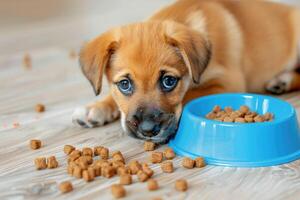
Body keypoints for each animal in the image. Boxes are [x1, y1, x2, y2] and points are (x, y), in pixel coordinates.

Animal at [72, 0, 300, 144]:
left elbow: (190, 94)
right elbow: (112, 97)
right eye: (125, 84)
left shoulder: (228, 82)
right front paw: (95, 108)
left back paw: (284, 80)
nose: (147, 130)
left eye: (169, 81)